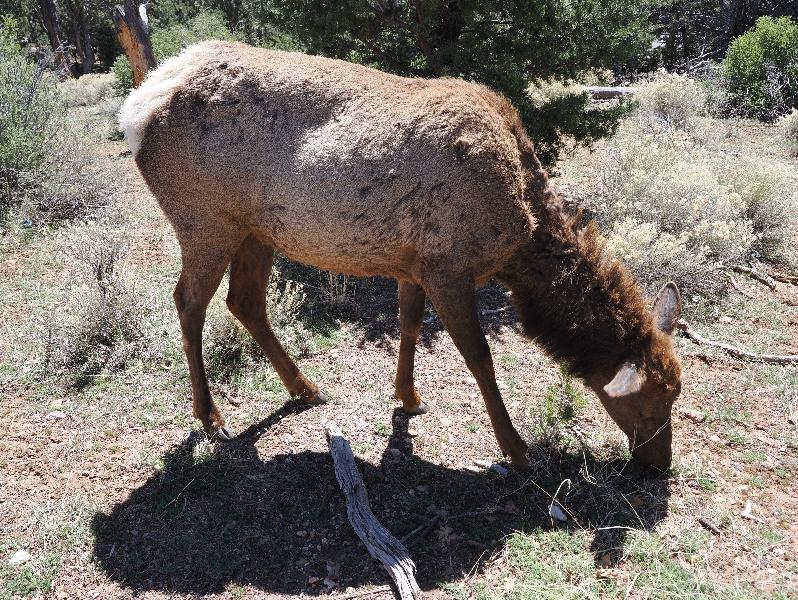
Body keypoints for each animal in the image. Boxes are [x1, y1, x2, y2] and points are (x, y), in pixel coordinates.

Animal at [119, 41, 682, 469]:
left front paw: (407, 398)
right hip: (204, 221)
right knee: (189, 303)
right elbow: (480, 357)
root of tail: (136, 109)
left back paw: (305, 387)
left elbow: (409, 325)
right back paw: (210, 416)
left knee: (244, 302)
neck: (519, 244)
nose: (659, 465)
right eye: (651, 404)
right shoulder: (449, 264)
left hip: (256, 230)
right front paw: (516, 449)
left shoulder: (413, 264)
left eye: (676, 391)